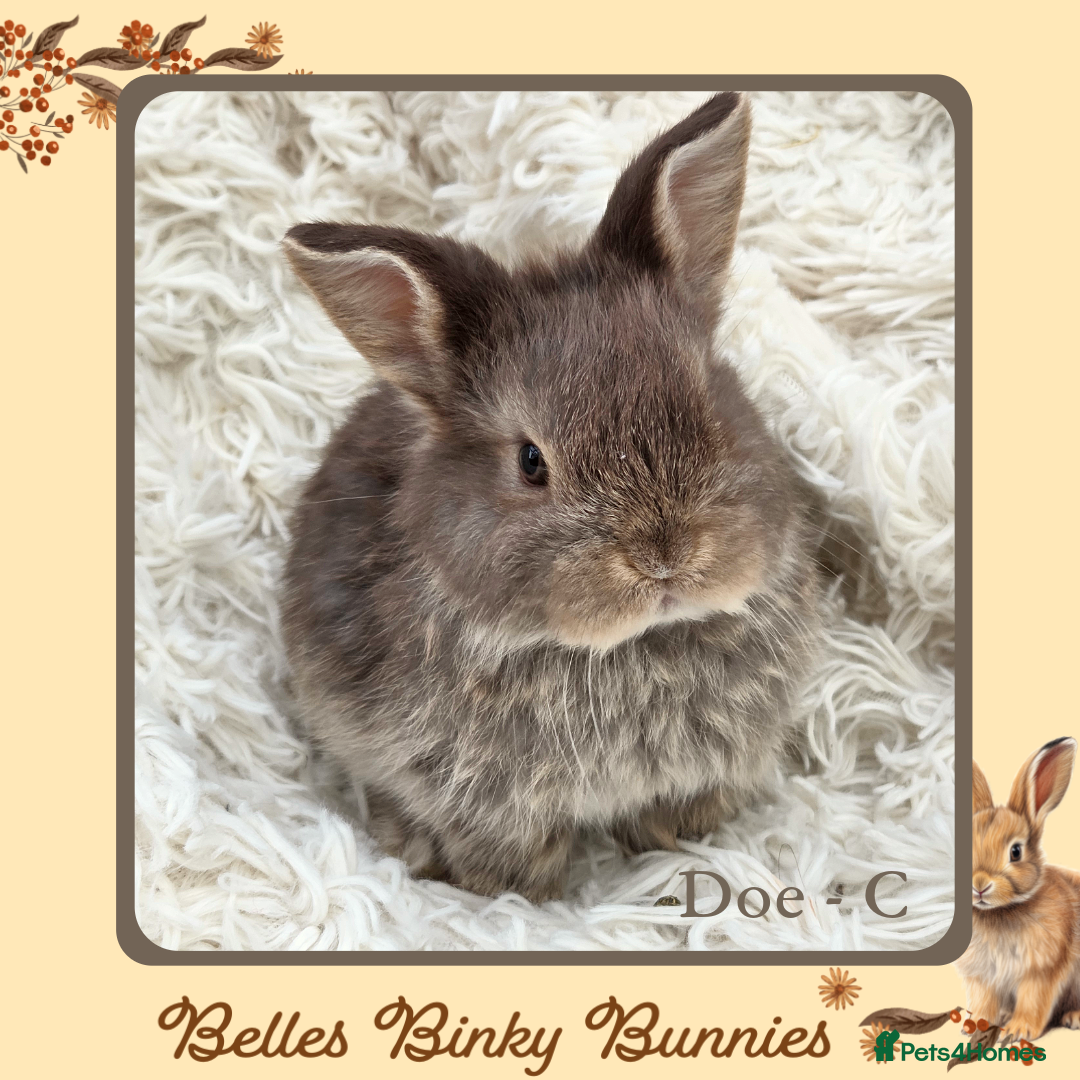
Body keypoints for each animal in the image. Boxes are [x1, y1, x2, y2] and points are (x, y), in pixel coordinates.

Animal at [280, 92, 823, 903]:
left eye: (712, 403)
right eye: (531, 462)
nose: (665, 555)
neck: (632, 646)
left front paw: (675, 841)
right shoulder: (474, 795)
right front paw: (514, 893)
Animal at [957, 737, 1080, 1041]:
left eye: (1015, 851)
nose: (979, 885)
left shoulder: (1041, 971)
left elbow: (1033, 1001)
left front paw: (1016, 1032)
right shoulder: (983, 976)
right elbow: (984, 1001)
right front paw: (974, 1025)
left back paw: (1073, 1017)